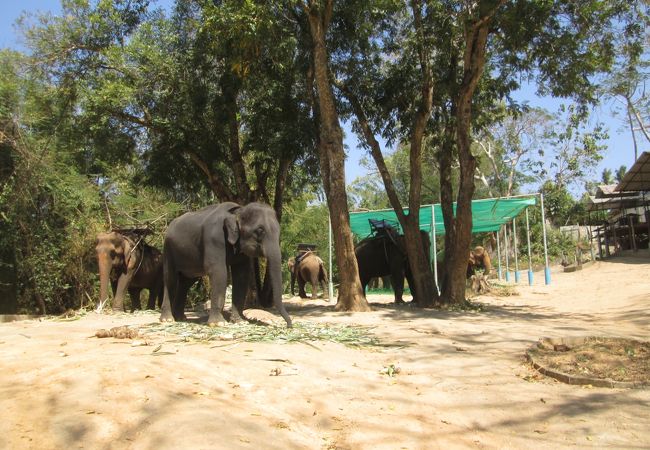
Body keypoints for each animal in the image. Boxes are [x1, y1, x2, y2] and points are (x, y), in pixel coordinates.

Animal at [159, 203, 292, 326]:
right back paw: (167, 320)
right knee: (170, 279)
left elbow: (242, 275)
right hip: (168, 250)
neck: (238, 211)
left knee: (186, 282)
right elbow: (219, 272)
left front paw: (240, 322)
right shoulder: (214, 239)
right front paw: (218, 323)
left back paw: (180, 318)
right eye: (260, 231)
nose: (289, 325)